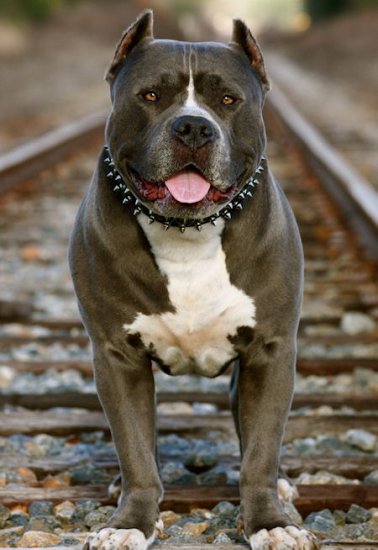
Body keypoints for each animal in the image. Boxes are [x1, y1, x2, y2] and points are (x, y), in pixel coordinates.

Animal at [68, 9, 318, 550]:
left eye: (227, 100)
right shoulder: (116, 358)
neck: (187, 232)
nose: (193, 127)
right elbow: (136, 449)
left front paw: (270, 521)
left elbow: (260, 450)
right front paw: (132, 521)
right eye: (150, 96)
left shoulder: (269, 351)